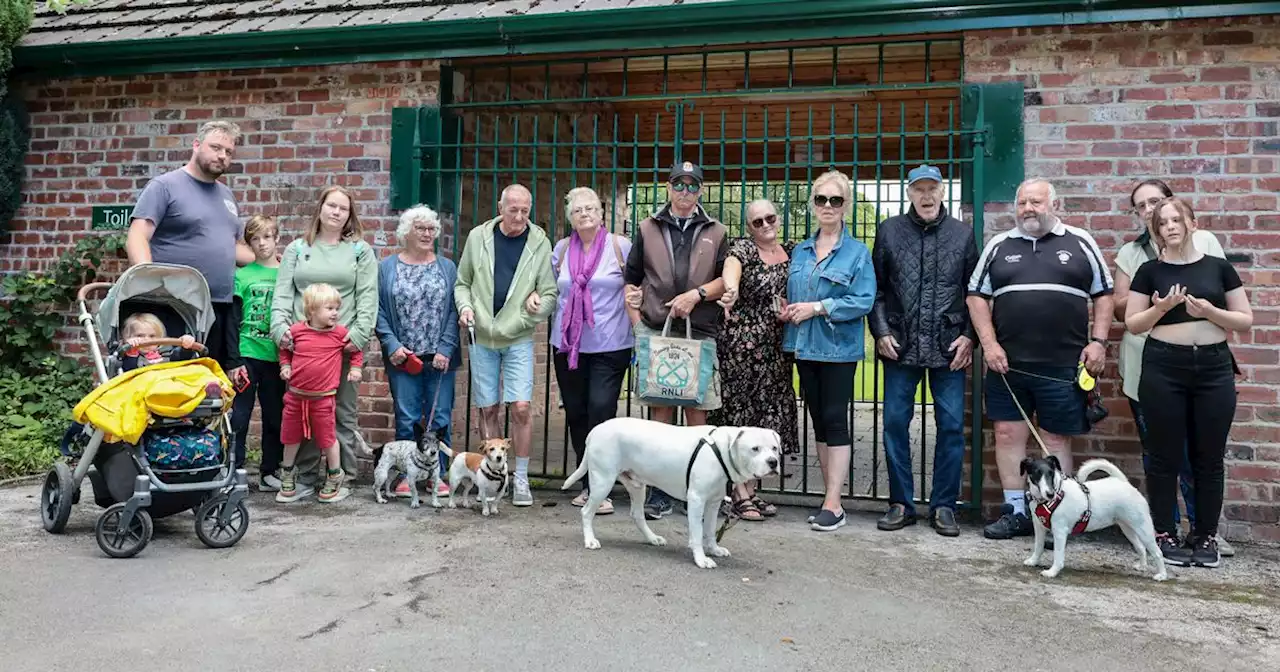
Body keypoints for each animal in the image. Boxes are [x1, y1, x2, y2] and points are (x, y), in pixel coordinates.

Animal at [560, 417, 778, 568]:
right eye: (755, 449)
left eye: (775, 448)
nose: (773, 462)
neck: (722, 449)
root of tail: (596, 429)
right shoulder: (697, 500)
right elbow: (697, 532)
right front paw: (701, 559)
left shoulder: (713, 503)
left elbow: (709, 530)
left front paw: (714, 549)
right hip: (602, 482)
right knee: (586, 512)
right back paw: (590, 540)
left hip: (637, 486)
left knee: (637, 515)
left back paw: (652, 538)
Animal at [1018, 455, 1172, 581]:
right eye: (1036, 473)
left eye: (1051, 473)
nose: (1050, 494)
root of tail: (1123, 482)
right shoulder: (1039, 527)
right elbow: (1038, 546)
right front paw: (1033, 561)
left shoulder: (1060, 532)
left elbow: (1058, 555)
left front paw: (1052, 572)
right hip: (1128, 528)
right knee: (1141, 548)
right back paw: (1142, 566)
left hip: (1143, 528)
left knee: (1157, 552)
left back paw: (1162, 575)